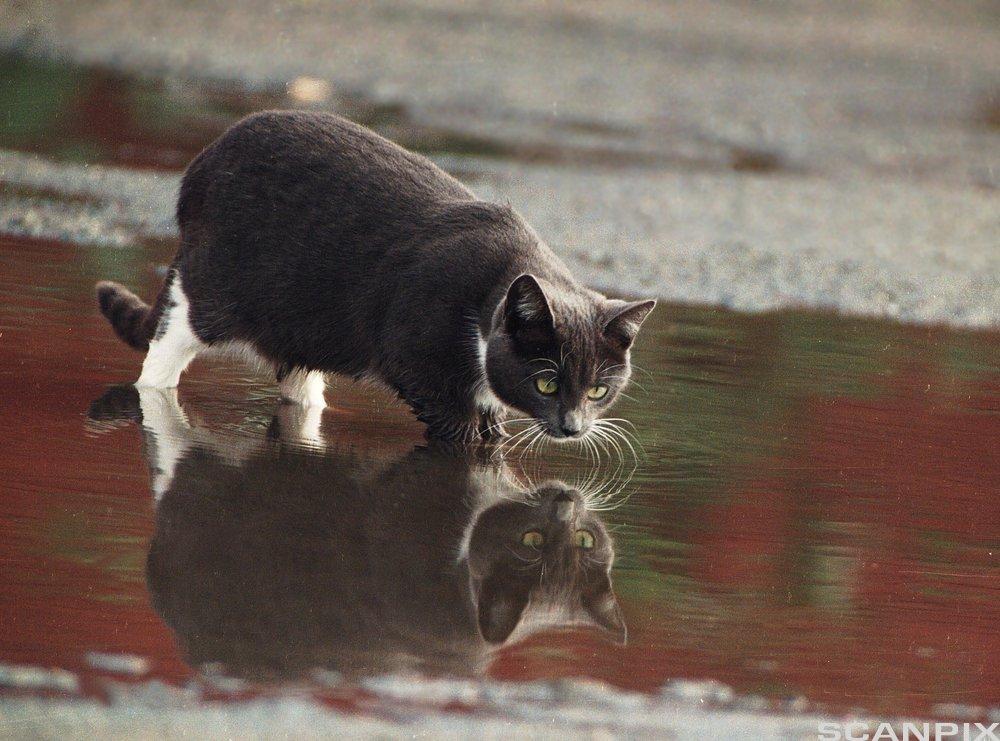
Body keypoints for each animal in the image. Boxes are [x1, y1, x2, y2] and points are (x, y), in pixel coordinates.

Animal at [95, 111, 656, 440]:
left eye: (599, 391)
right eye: (546, 382)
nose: (573, 427)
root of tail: (199, 167)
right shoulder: (413, 350)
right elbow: (456, 427)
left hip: (305, 326)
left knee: (299, 385)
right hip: (211, 290)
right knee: (163, 357)